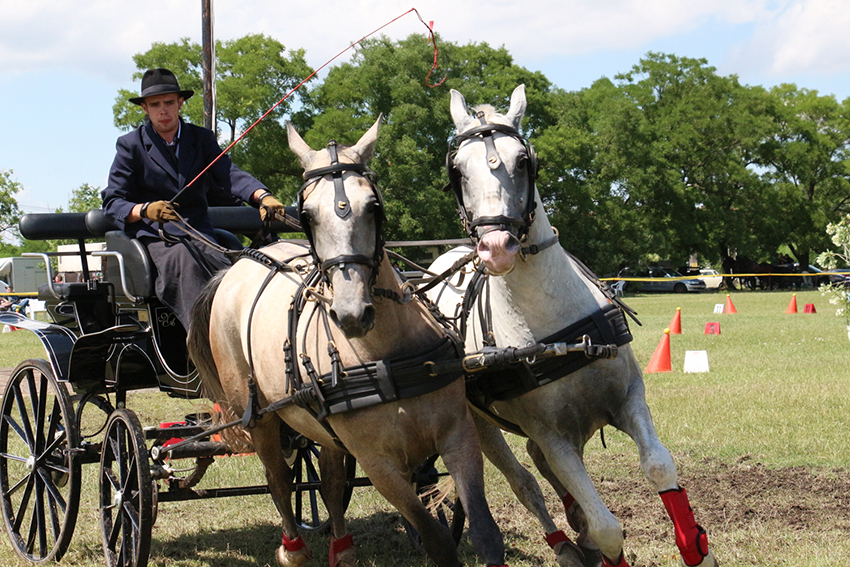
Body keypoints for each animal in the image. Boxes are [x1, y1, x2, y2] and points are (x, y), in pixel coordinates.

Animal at [424, 84, 716, 567]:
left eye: (524, 162)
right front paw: (595, 538)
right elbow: (607, 528)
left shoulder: (629, 397)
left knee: (539, 467)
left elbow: (659, 466)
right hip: (476, 424)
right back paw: (564, 544)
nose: (496, 247)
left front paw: (697, 547)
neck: (557, 326)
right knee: (526, 482)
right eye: (458, 171)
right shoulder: (553, 434)